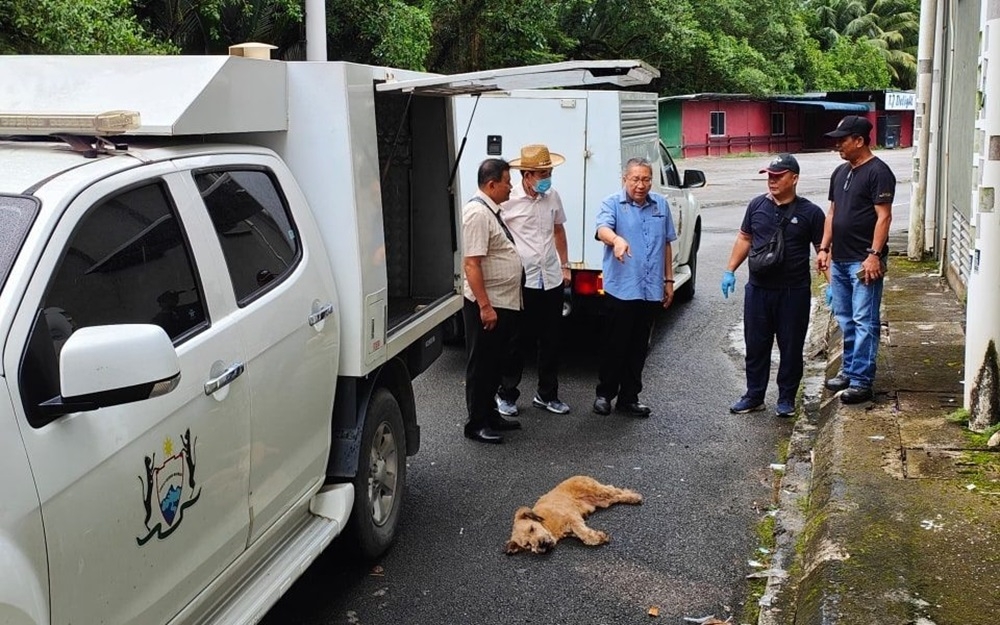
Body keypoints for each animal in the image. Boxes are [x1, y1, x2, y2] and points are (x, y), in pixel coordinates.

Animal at [508, 476, 640, 552]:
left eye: (532, 528)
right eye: (527, 545)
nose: (541, 546)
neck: (547, 524)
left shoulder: (572, 518)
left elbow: (581, 531)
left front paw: (597, 537)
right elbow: (582, 534)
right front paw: (596, 537)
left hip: (598, 491)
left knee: (615, 490)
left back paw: (634, 496)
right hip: (603, 501)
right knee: (616, 496)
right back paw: (631, 498)